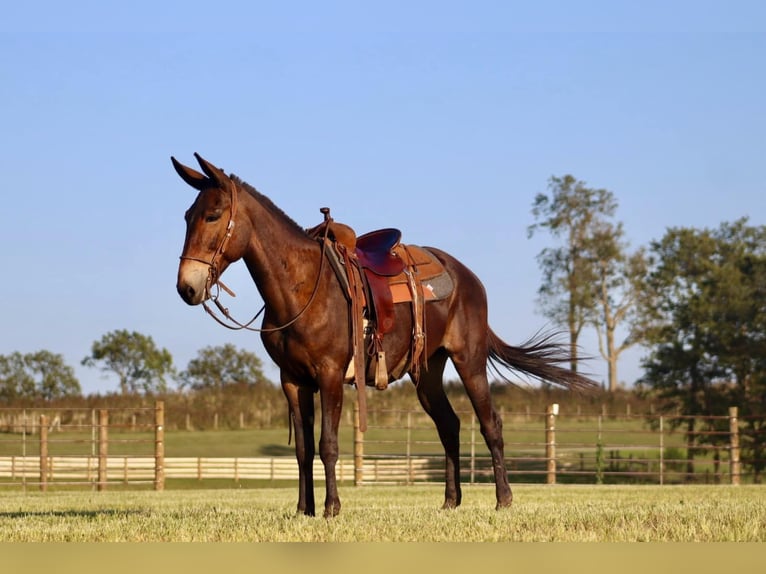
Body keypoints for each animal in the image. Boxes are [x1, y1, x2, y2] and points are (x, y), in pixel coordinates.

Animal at [174, 155, 600, 520]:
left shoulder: (330, 375)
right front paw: (303, 510)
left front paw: (331, 509)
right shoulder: (292, 381)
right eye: (187, 216)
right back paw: (451, 501)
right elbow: (303, 449)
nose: (187, 288)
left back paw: (504, 499)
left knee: (490, 424)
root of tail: (468, 277)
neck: (302, 286)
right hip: (427, 372)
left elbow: (328, 445)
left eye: (213, 215)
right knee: (449, 425)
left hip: (469, 360)